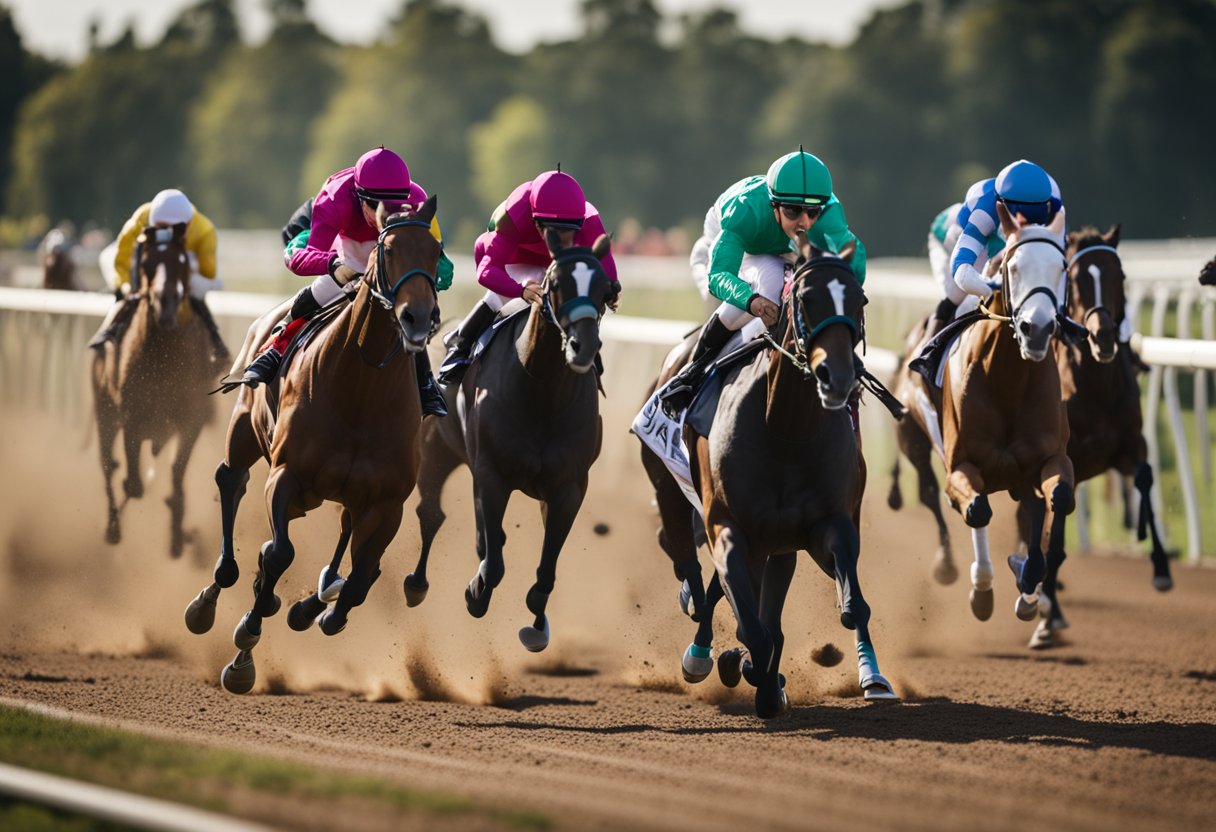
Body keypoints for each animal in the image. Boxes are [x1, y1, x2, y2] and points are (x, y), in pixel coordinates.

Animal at [92, 223, 223, 554]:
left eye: (182, 262)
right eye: (147, 263)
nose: (166, 304)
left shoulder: (192, 418)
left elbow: (177, 472)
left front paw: (178, 535)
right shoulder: (131, 417)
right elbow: (134, 484)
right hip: (104, 414)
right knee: (107, 466)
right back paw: (113, 526)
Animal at [184, 197, 442, 695]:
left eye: (437, 252)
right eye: (389, 250)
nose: (419, 318)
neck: (362, 389)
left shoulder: (386, 503)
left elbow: (361, 578)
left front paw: (316, 611)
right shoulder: (287, 475)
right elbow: (279, 553)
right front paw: (244, 651)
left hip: (336, 496)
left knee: (344, 538)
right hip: (246, 431)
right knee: (231, 481)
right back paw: (211, 598)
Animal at [401, 231, 612, 651]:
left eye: (602, 287)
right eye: (555, 284)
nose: (583, 346)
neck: (543, 392)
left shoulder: (569, 487)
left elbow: (546, 567)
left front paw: (537, 624)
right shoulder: (493, 474)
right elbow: (493, 561)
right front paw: (476, 593)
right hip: (436, 451)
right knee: (432, 514)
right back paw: (417, 584)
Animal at [1011, 226, 1172, 651]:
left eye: (1120, 275)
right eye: (1077, 279)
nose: (1103, 337)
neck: (1096, 385)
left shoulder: (1130, 445)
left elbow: (1145, 478)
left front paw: (1162, 568)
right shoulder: (1067, 462)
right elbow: (1054, 536)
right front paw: (1048, 612)